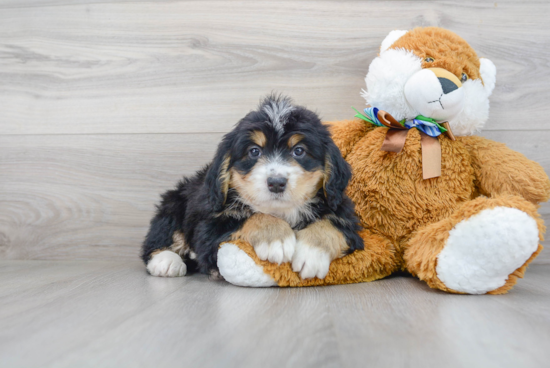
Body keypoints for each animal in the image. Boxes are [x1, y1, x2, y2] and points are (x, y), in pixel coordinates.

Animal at [142, 94, 364, 278]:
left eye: (299, 150)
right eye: (254, 151)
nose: (276, 183)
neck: (281, 211)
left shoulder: (345, 216)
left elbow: (330, 225)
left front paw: (311, 254)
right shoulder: (209, 228)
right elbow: (251, 216)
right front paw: (276, 239)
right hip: (175, 203)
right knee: (158, 240)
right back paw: (166, 261)